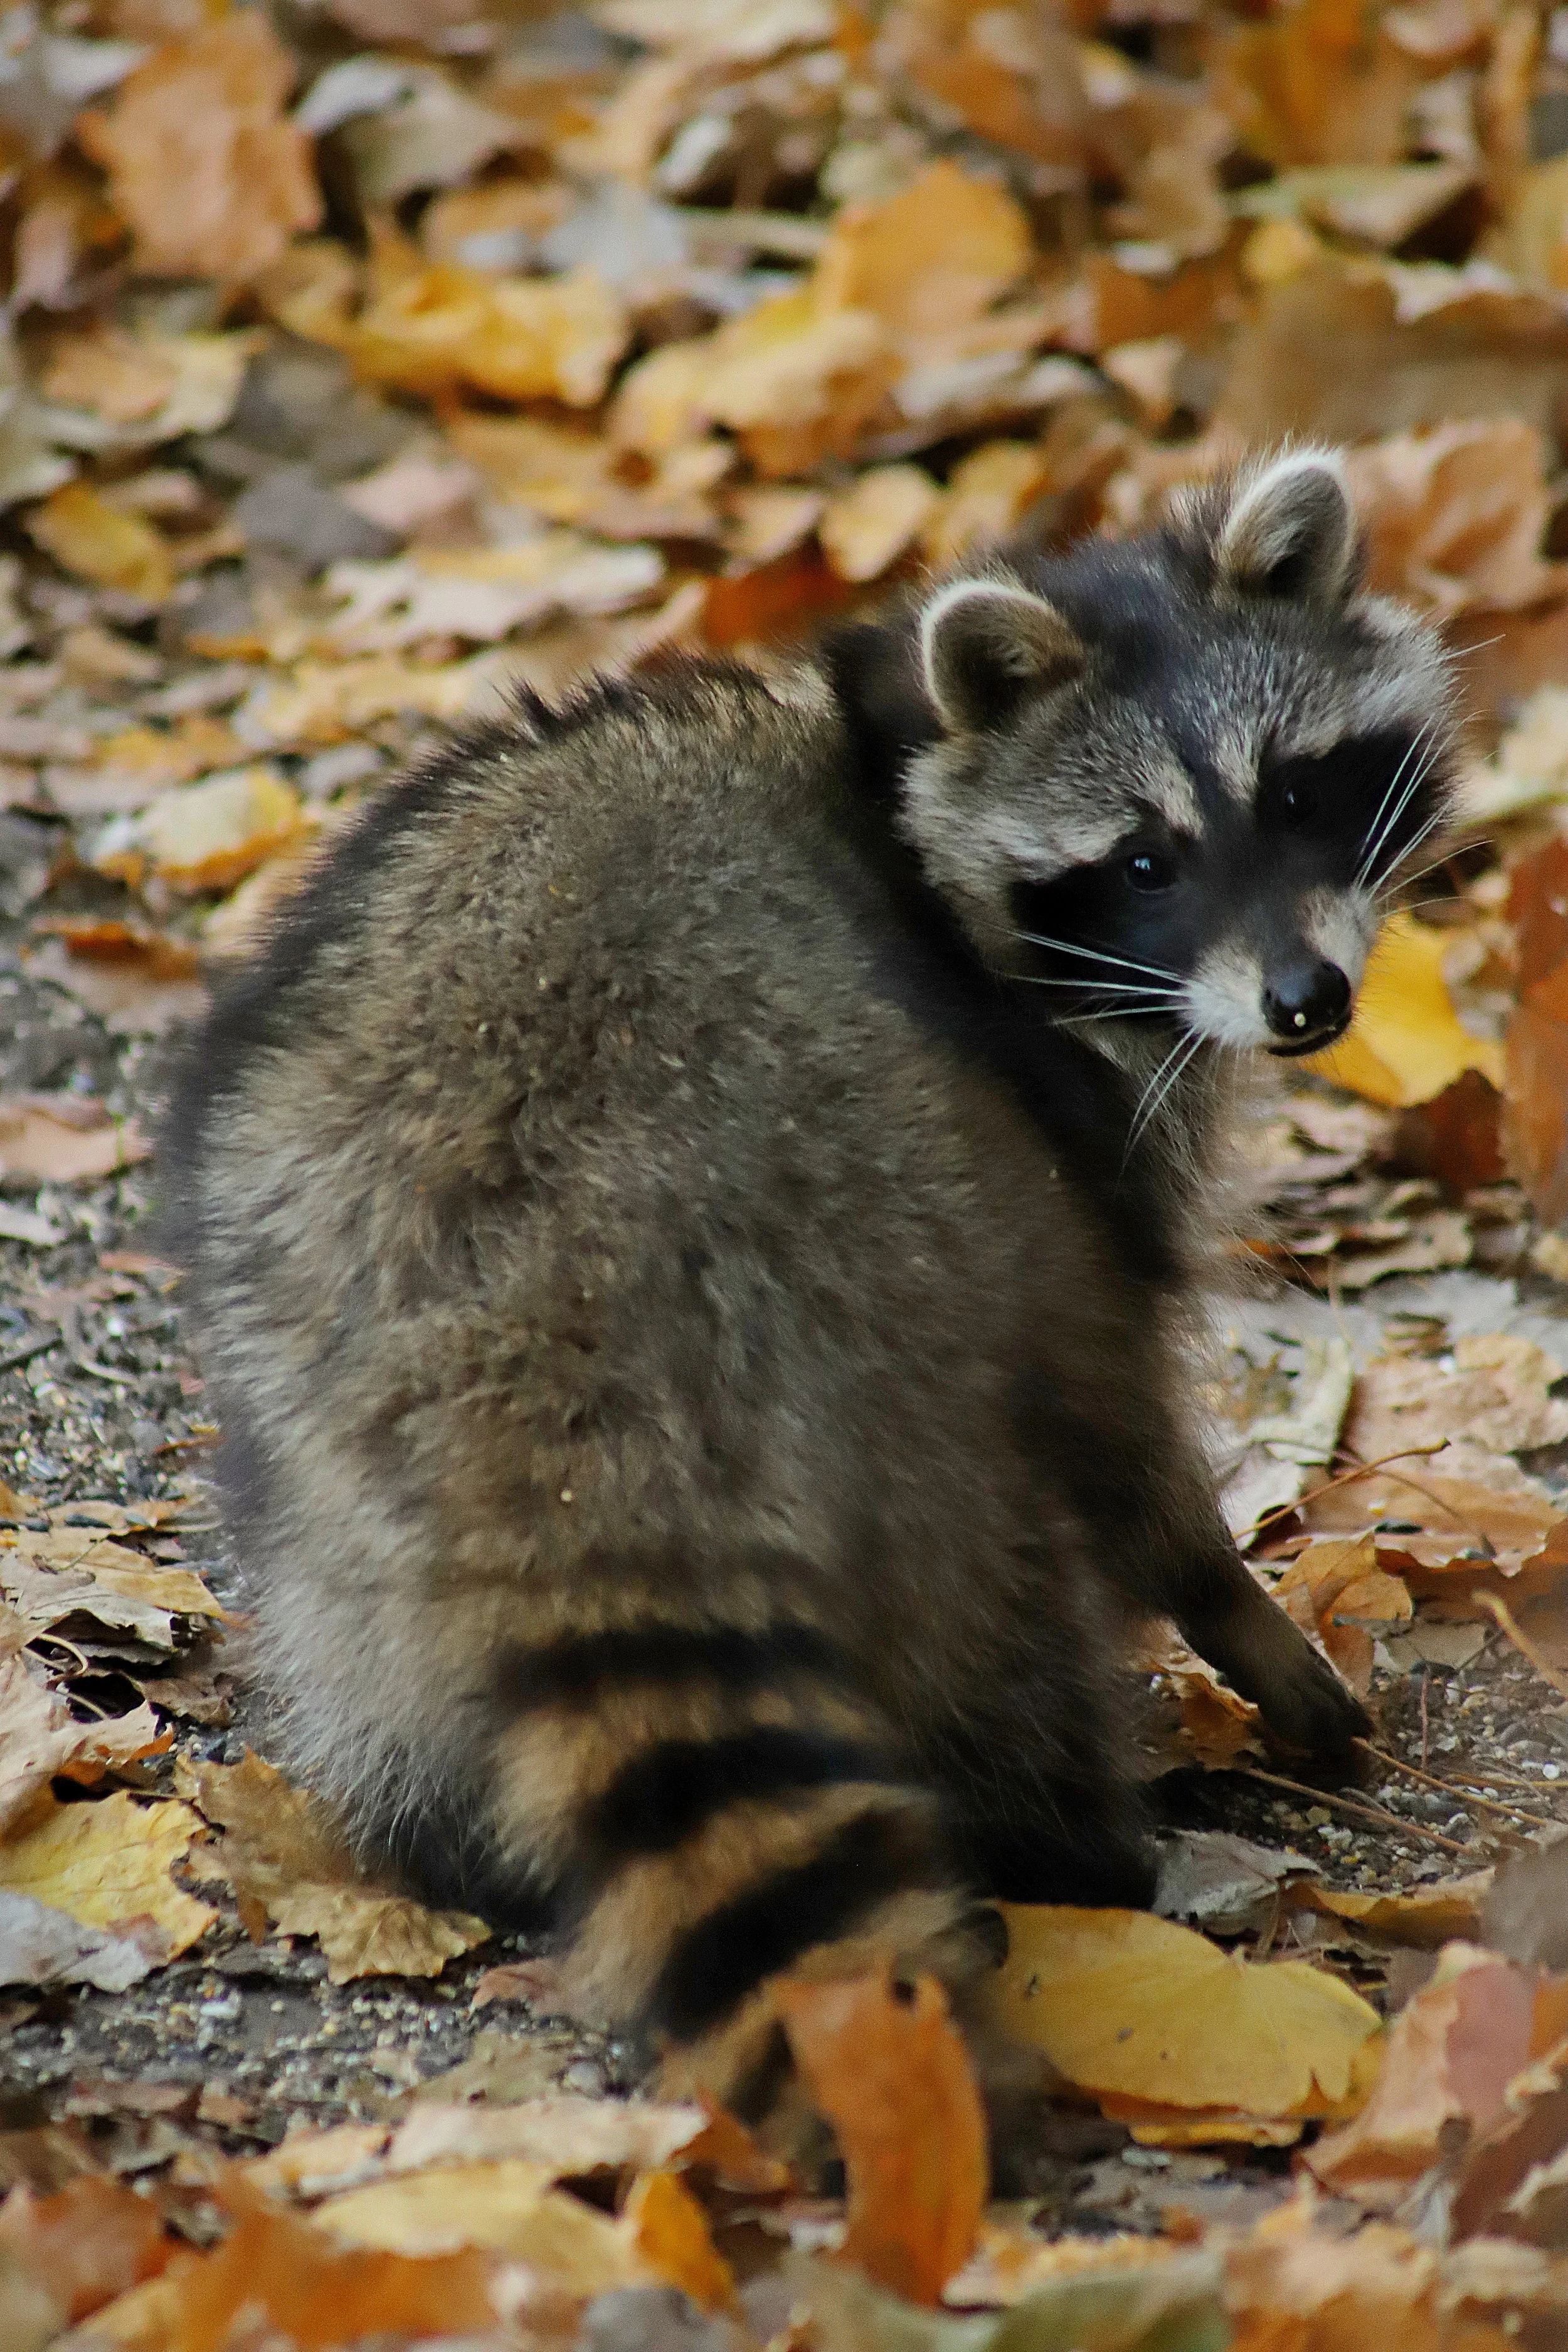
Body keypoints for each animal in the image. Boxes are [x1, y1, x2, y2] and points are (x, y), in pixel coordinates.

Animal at [164, 451, 1455, 2108]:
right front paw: (1240, 1614)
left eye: (1298, 791)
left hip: (312, 1343)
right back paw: (1074, 1830)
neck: (900, 753)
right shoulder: (1048, 1143)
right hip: (890, 1296)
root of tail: (549, 1294)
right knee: (1004, 1577)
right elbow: (1116, 1414)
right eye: (1143, 862)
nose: (1306, 1002)